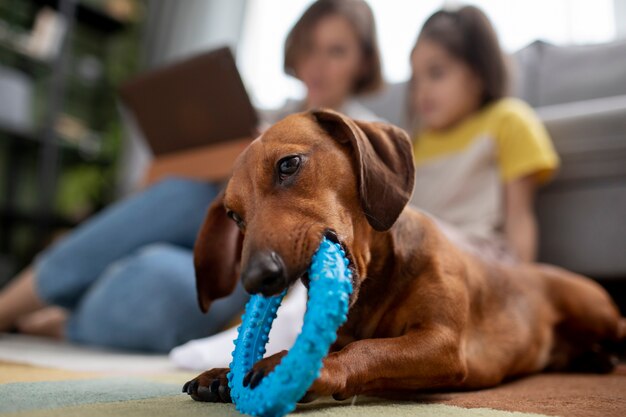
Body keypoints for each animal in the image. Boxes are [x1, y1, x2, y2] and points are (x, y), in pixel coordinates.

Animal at [183, 109, 620, 402]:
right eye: (234, 215)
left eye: (288, 164)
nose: (256, 278)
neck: (377, 282)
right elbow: (349, 343)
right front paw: (222, 373)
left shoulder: (442, 344)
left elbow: (367, 349)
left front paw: (291, 365)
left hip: (596, 313)